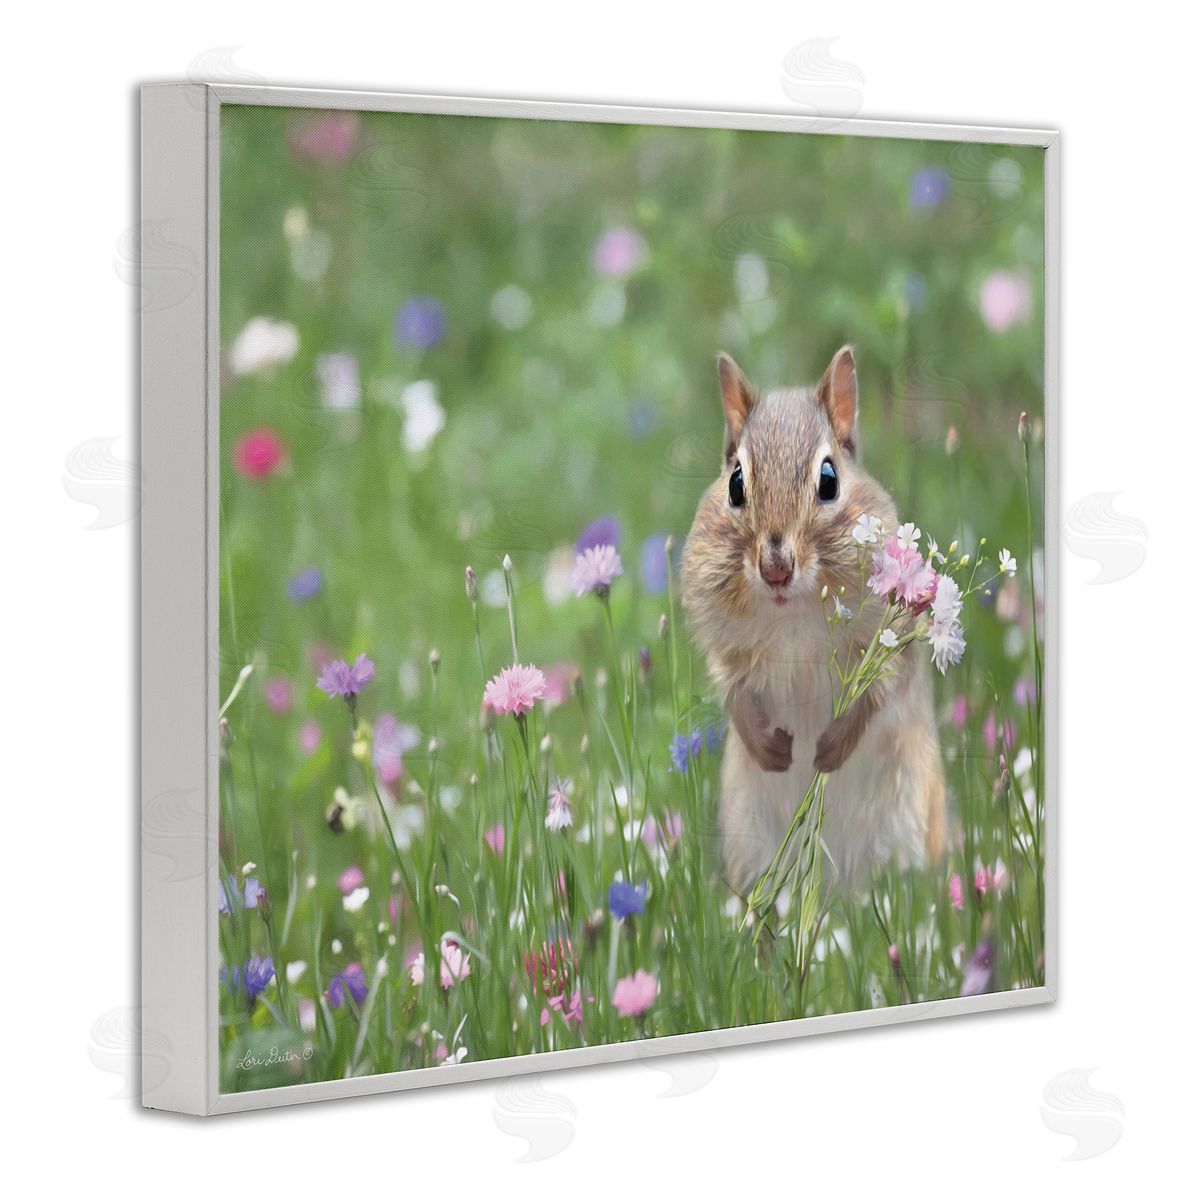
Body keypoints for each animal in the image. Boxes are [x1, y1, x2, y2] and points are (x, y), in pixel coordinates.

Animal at [681, 346, 946, 895]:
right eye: (735, 483)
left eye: (829, 480)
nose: (775, 568)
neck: (793, 614)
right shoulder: (723, 643)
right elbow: (732, 689)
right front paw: (771, 750)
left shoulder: (889, 642)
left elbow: (878, 692)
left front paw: (829, 750)